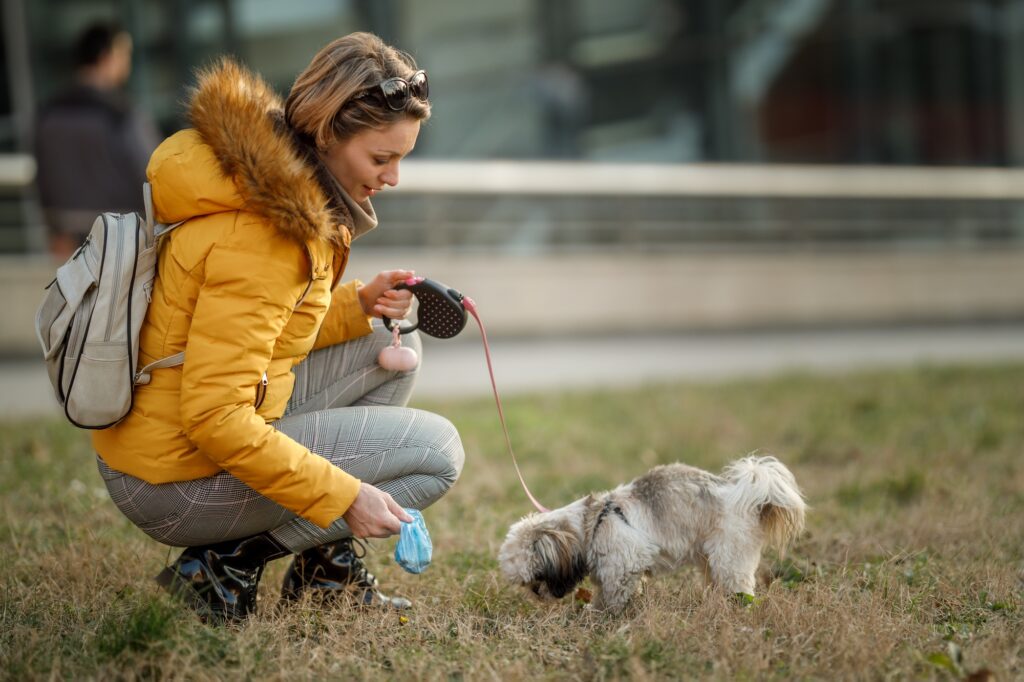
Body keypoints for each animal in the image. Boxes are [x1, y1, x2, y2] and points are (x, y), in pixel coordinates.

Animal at [497, 454, 806, 614]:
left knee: (738, 585)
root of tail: (747, 496)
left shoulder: (623, 563)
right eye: (529, 584)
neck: (592, 522)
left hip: (731, 556)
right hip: (710, 558)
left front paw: (602, 616)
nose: (538, 594)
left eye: (537, 578)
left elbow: (613, 596)